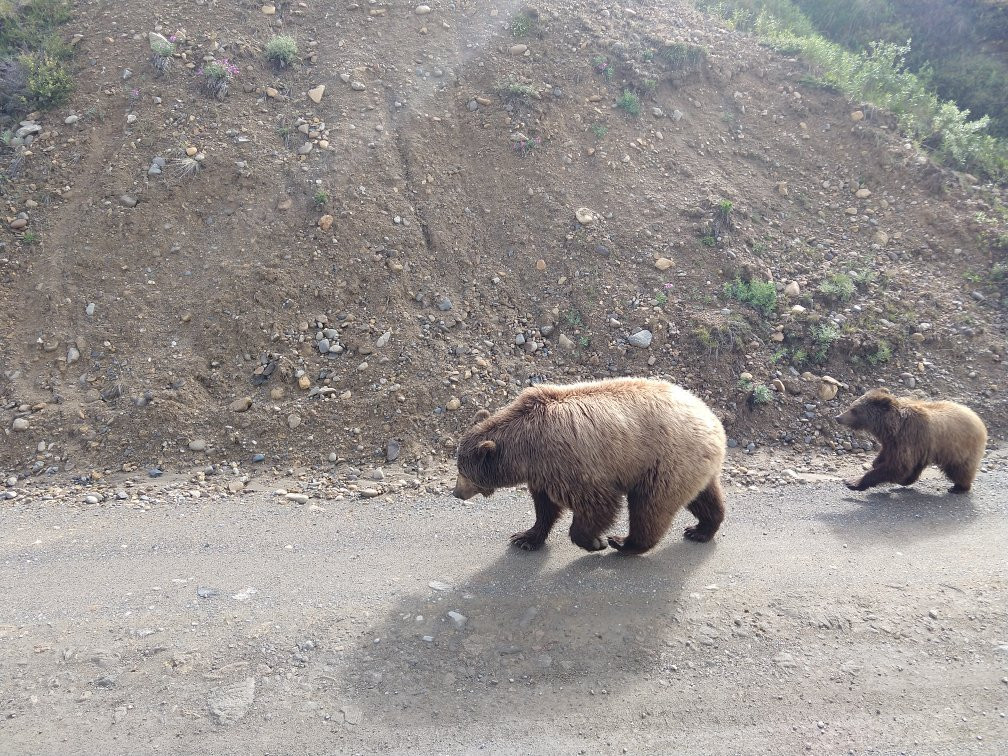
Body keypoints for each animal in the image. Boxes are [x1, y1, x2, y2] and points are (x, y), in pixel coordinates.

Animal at [453, 379, 729, 556]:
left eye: (463, 472)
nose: (456, 492)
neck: (526, 449)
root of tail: (713, 421)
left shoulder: (571, 462)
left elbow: (598, 503)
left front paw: (594, 541)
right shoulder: (543, 473)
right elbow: (545, 507)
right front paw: (525, 537)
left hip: (664, 461)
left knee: (650, 507)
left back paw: (625, 542)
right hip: (692, 466)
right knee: (704, 497)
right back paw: (701, 529)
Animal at [830, 387, 987, 493]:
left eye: (854, 410)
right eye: (851, 405)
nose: (838, 417)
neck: (891, 426)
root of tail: (980, 422)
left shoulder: (909, 437)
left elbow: (898, 466)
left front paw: (853, 482)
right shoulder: (894, 441)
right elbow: (887, 455)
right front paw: (875, 462)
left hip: (957, 448)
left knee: (960, 469)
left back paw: (959, 487)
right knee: (918, 467)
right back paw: (906, 481)